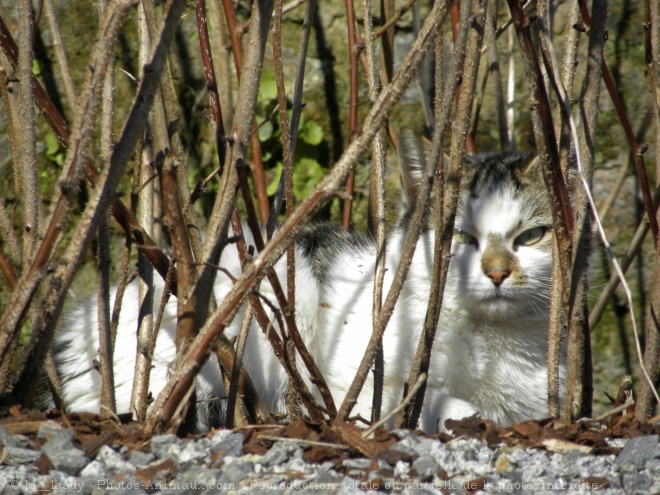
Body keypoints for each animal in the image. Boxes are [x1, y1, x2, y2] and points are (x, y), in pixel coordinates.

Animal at [52, 131, 568, 434]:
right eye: (460, 237)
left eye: (530, 236)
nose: (497, 272)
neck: (488, 339)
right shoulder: (355, 385)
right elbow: (432, 403)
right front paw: (468, 415)